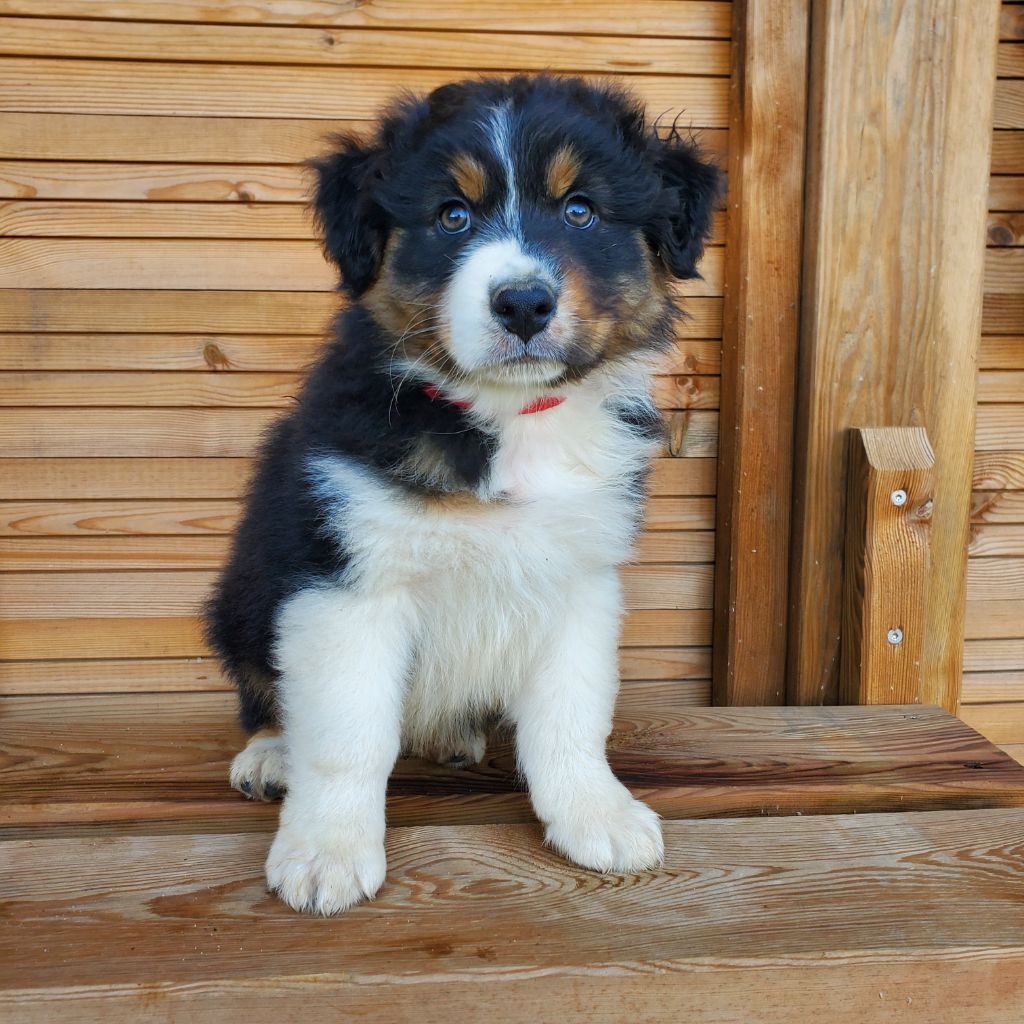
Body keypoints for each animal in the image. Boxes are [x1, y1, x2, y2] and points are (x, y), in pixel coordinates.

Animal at [205, 74, 720, 915]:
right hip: (243, 596)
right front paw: (325, 853)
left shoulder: (580, 579)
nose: (523, 303)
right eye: (452, 216)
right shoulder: (348, 582)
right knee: (266, 694)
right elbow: (347, 735)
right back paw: (272, 756)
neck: (509, 416)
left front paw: (596, 815)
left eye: (581, 210)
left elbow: (572, 716)